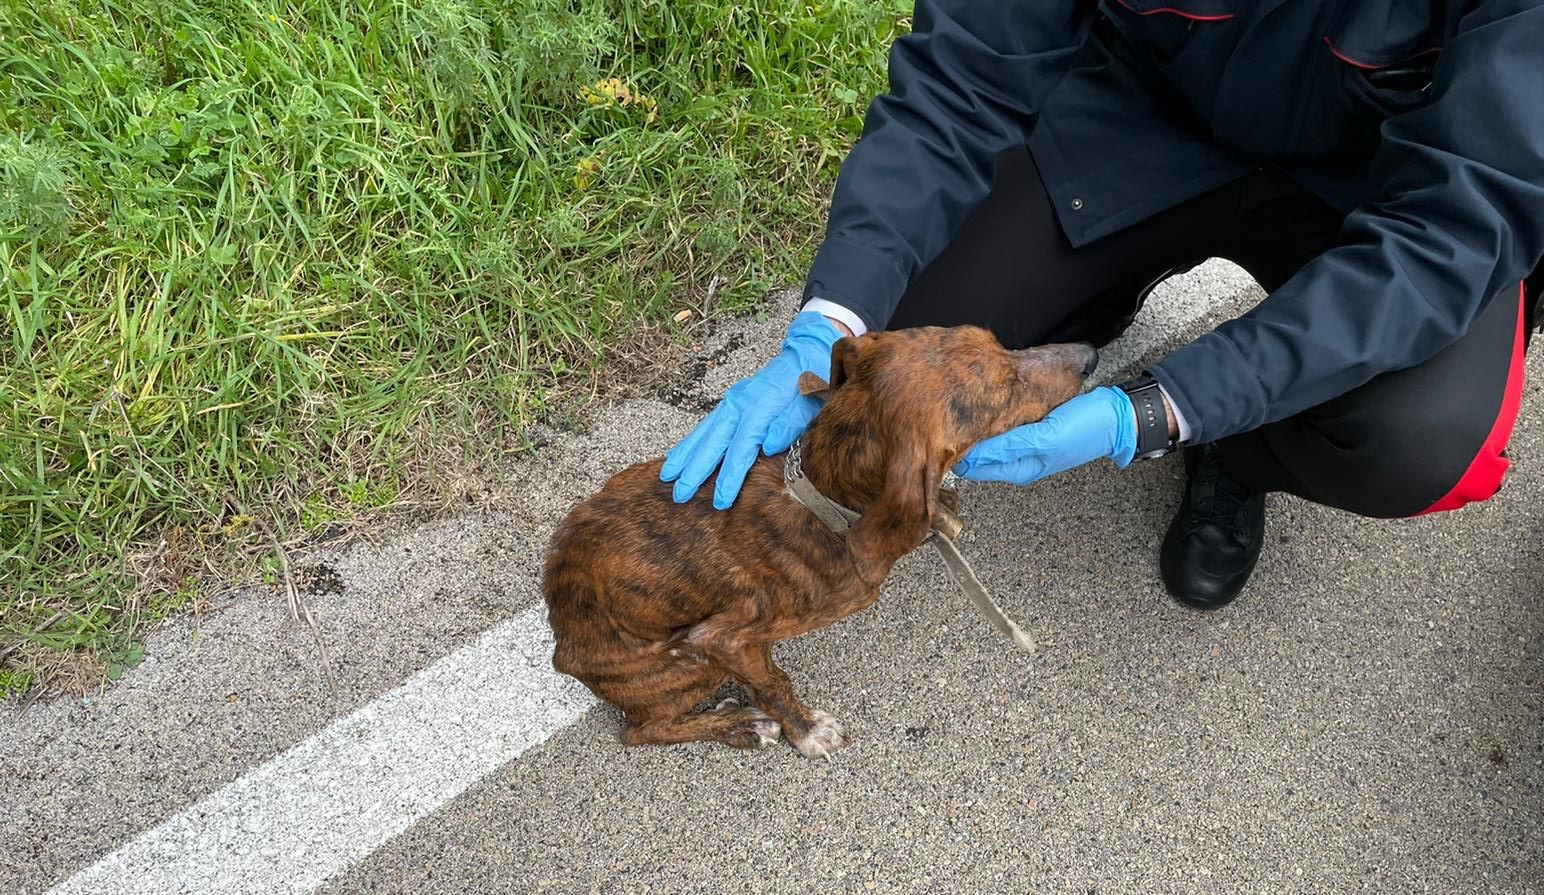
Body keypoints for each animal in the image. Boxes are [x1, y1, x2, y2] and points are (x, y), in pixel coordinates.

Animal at [546, 327, 1099, 756]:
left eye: (1002, 343)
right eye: (1006, 390)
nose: (1090, 355)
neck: (821, 495)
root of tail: (561, 646)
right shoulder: (718, 638)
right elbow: (774, 685)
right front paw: (805, 729)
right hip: (686, 663)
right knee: (640, 731)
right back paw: (739, 726)